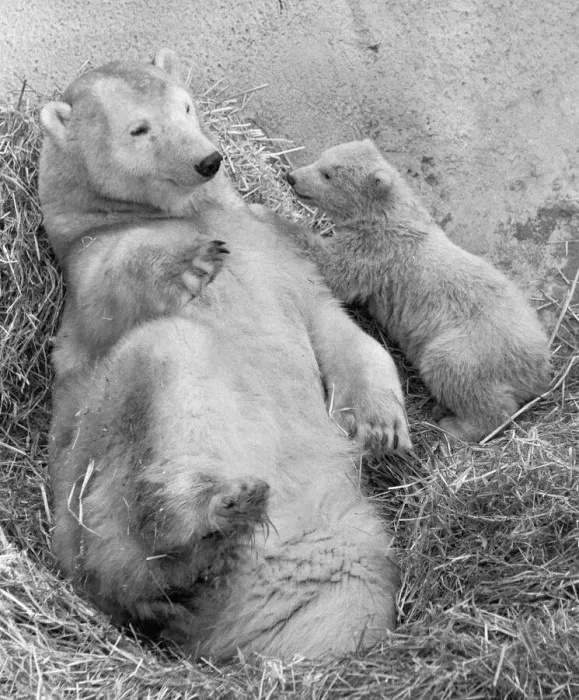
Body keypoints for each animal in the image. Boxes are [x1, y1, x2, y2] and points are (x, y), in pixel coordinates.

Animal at [39, 52, 412, 661]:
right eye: (139, 128)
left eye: (187, 106)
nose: (207, 160)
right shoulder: (88, 264)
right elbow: (120, 287)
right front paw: (191, 260)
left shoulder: (280, 249)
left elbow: (334, 324)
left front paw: (380, 423)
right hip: (85, 491)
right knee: (169, 360)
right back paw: (210, 519)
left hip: (335, 541)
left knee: (349, 597)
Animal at [287, 139, 552, 443]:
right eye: (320, 158)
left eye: (327, 174)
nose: (291, 177)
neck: (392, 214)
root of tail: (539, 369)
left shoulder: (376, 251)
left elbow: (335, 270)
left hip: (476, 348)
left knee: (454, 371)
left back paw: (453, 426)